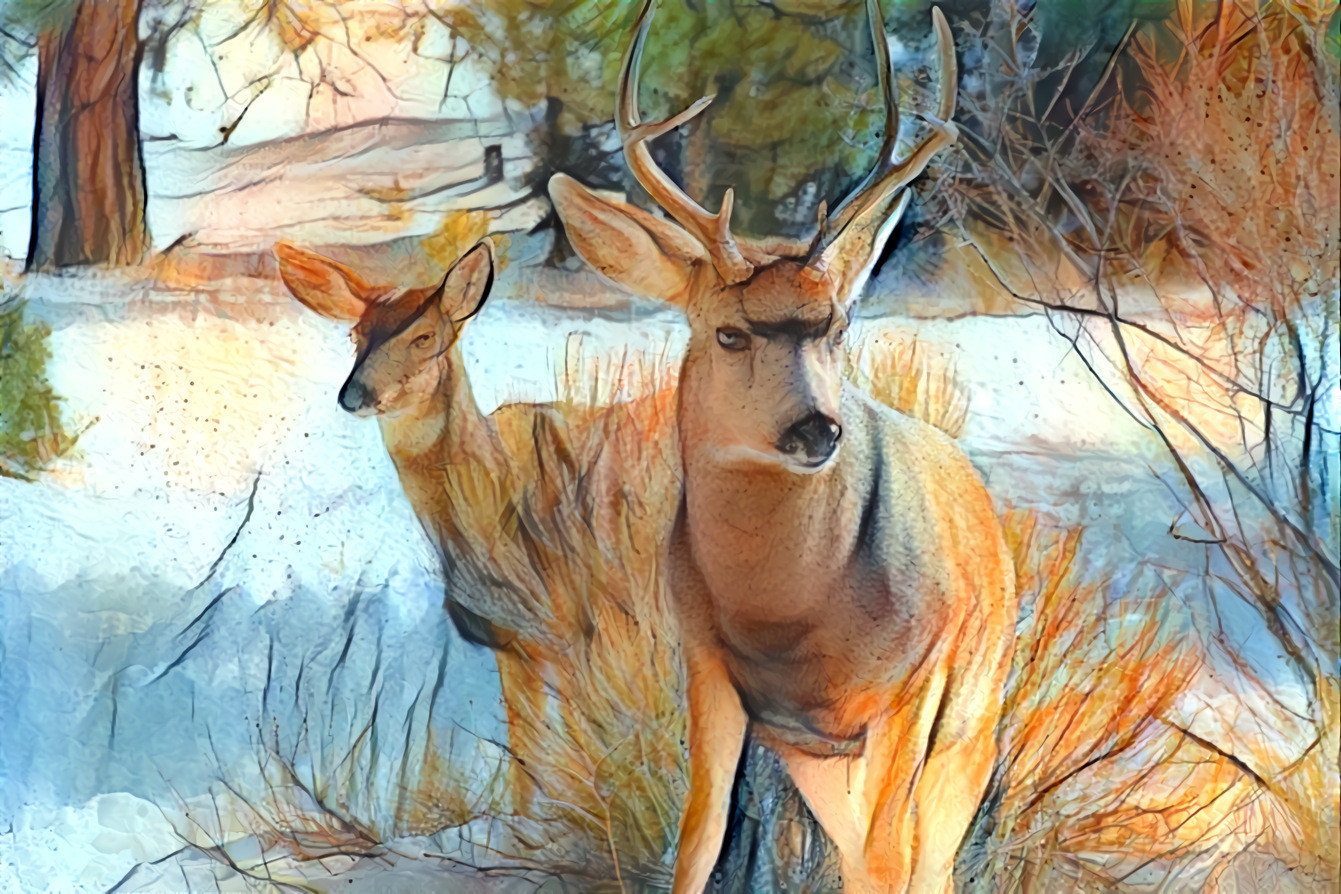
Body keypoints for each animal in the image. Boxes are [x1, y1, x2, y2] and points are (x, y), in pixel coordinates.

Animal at [547, 3, 1013, 889]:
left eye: (837, 327)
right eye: (727, 332)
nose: (816, 428)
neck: (785, 617)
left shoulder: (914, 682)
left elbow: (890, 858)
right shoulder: (710, 670)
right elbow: (698, 837)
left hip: (970, 717)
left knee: (919, 855)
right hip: (817, 756)